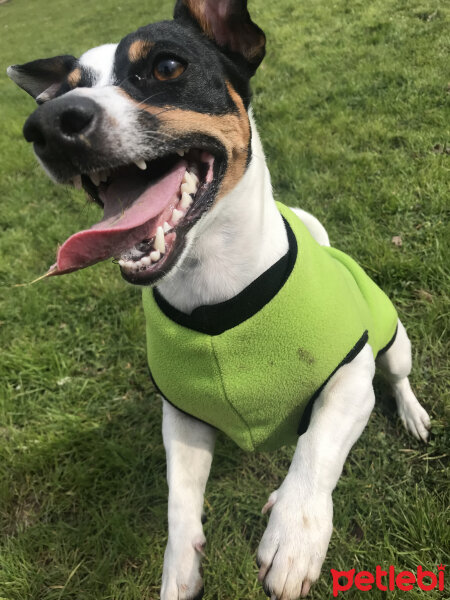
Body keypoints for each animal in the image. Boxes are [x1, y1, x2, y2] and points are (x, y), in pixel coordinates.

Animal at [6, 2, 428, 596]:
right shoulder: (183, 418)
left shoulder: (350, 376)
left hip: (392, 337)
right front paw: (179, 568)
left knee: (397, 375)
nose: (46, 125)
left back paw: (413, 413)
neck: (213, 287)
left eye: (166, 66)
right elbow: (180, 502)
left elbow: (317, 446)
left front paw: (295, 534)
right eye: (58, 93)